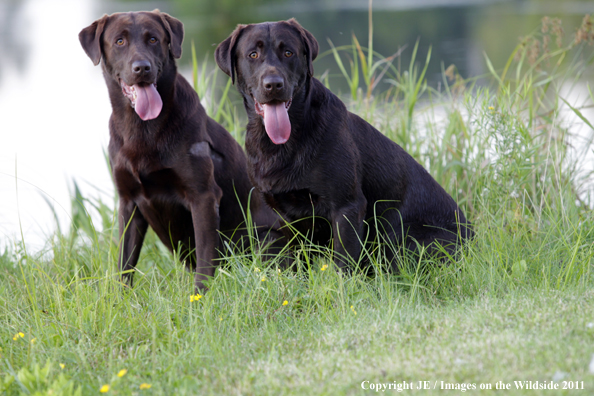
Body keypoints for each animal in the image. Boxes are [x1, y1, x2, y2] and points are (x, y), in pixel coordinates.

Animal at [80, 10, 280, 290]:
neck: (141, 129)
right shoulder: (128, 202)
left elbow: (206, 257)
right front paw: (120, 298)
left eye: (153, 39)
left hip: (266, 238)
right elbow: (124, 263)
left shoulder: (203, 196)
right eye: (119, 41)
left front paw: (200, 296)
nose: (142, 68)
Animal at [215, 19, 470, 270]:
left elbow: (344, 263)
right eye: (253, 54)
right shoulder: (282, 216)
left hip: (399, 236)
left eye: (288, 52)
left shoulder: (347, 206)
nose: (274, 84)